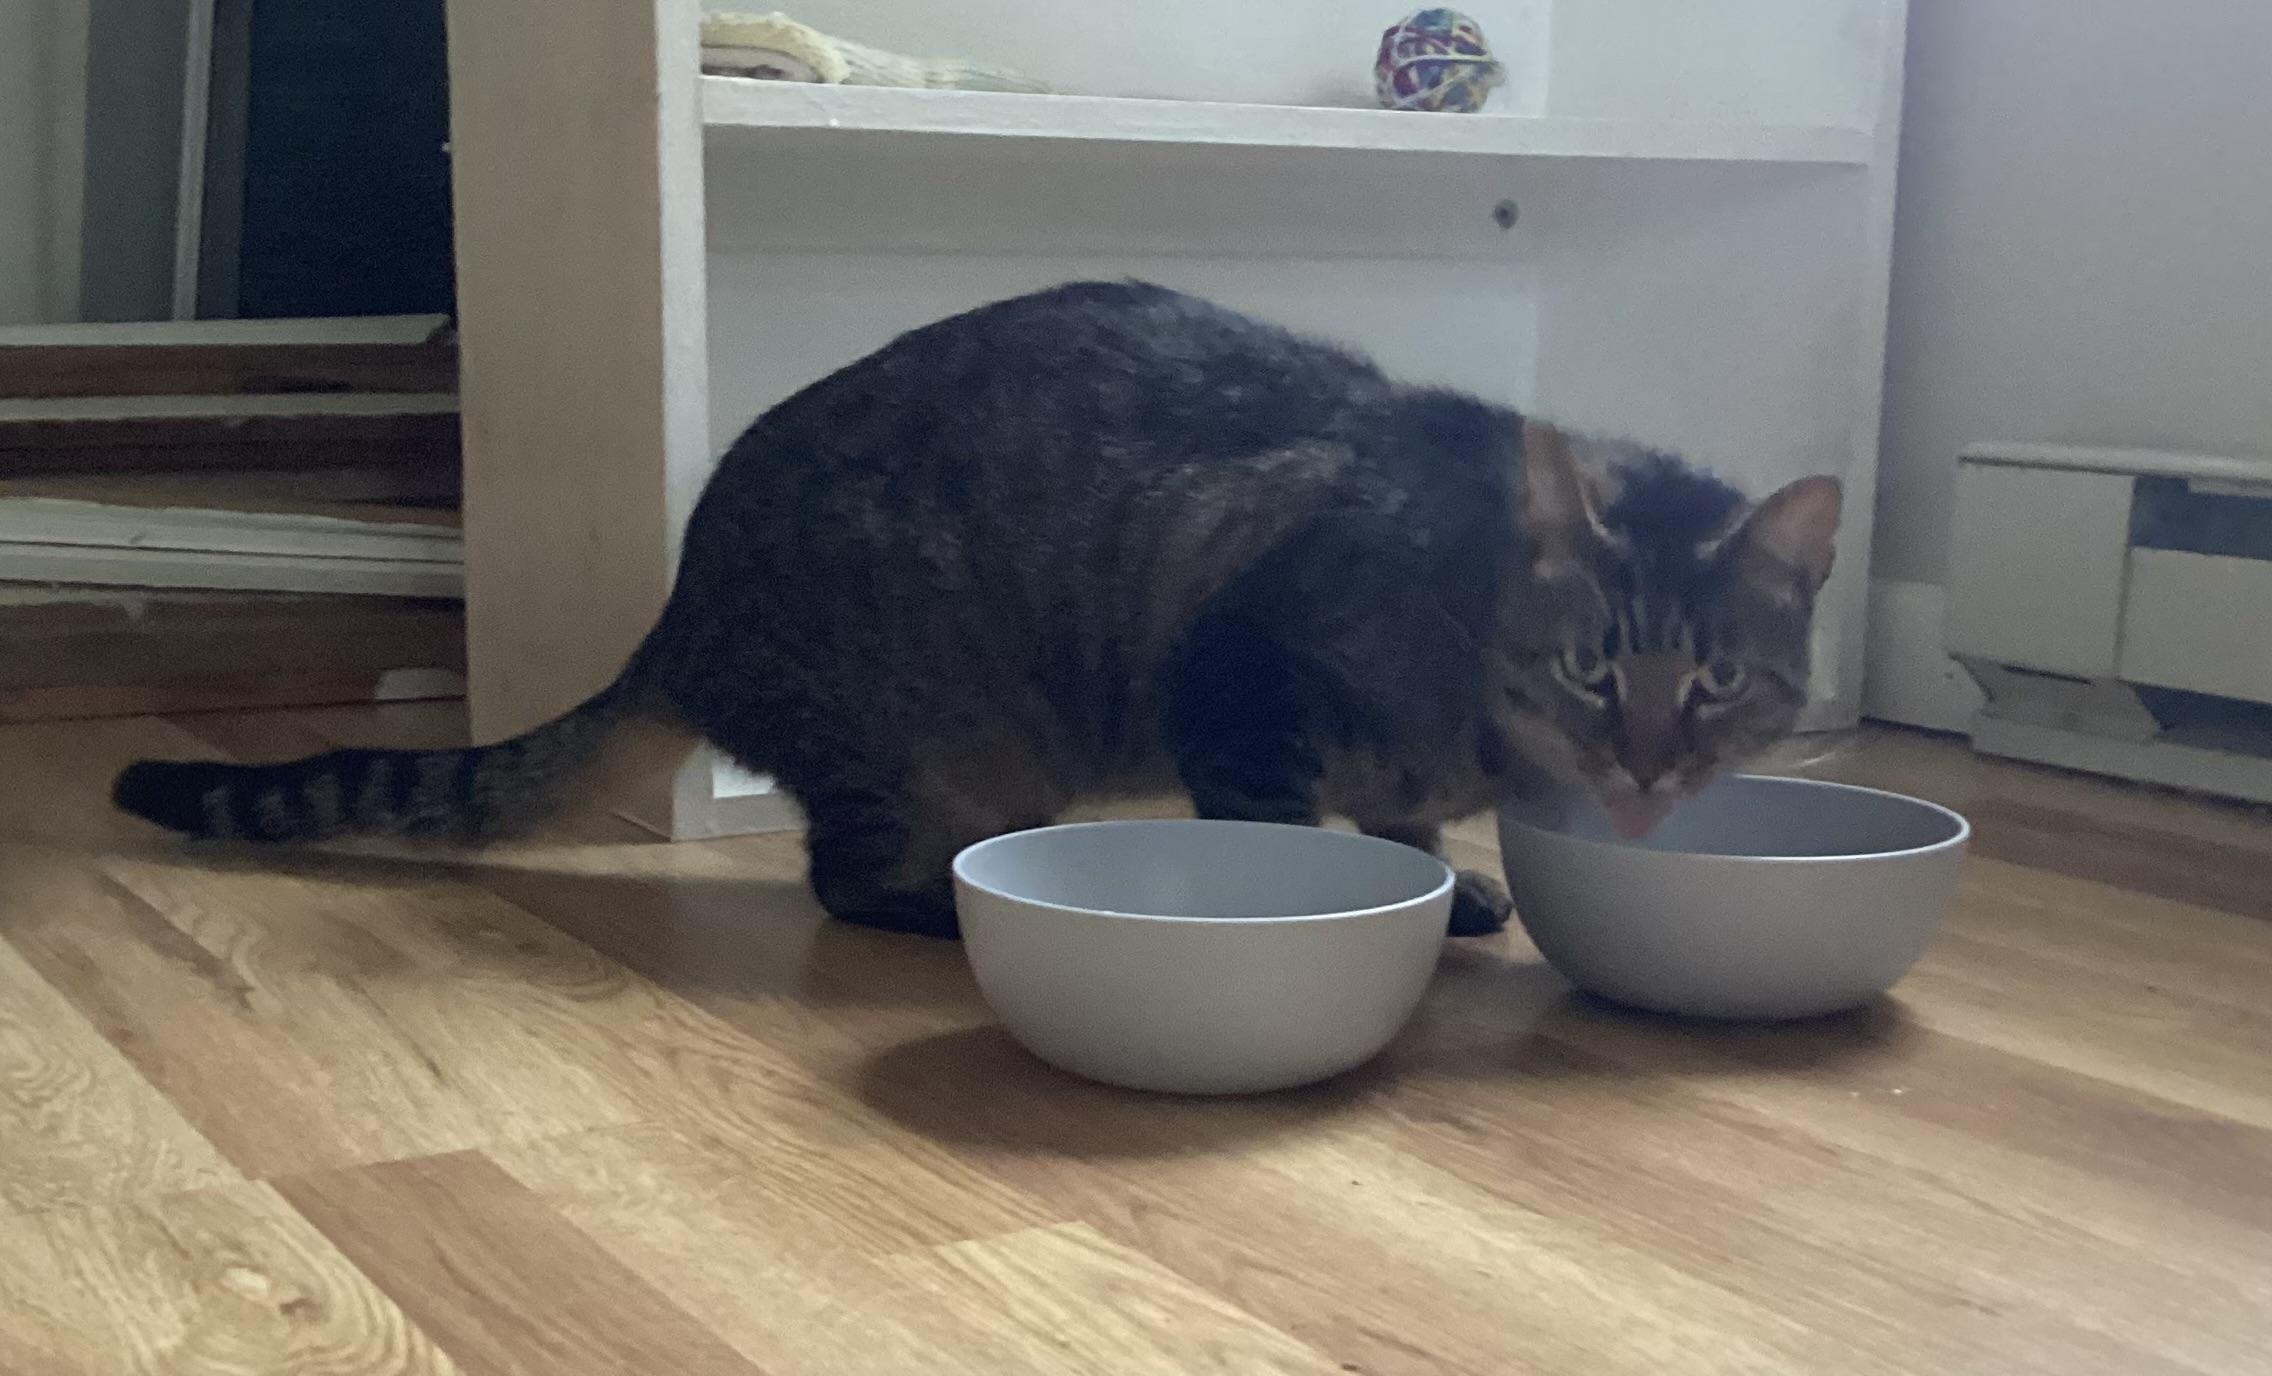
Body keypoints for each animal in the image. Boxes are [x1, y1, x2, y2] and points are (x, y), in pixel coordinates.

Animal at [115, 286, 1835, 944]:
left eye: (1721, 686)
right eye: (1593, 669)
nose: (1644, 771)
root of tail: (680, 613)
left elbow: (1407, 834)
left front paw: (1452, 892)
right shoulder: (1244, 683)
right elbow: (1292, 838)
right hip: (935, 743)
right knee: (842, 883)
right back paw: (940, 911)